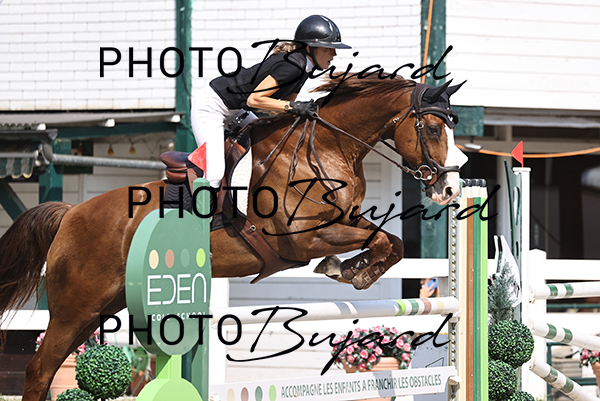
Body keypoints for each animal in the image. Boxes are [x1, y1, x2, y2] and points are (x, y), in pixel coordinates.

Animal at [0, 75, 464, 401]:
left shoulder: (342, 221)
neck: (328, 147)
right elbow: (380, 242)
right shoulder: (303, 240)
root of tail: (72, 213)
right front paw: (351, 271)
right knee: (39, 370)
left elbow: (390, 242)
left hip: (100, 306)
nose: (449, 190)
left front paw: (351, 270)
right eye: (432, 130)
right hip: (75, 307)